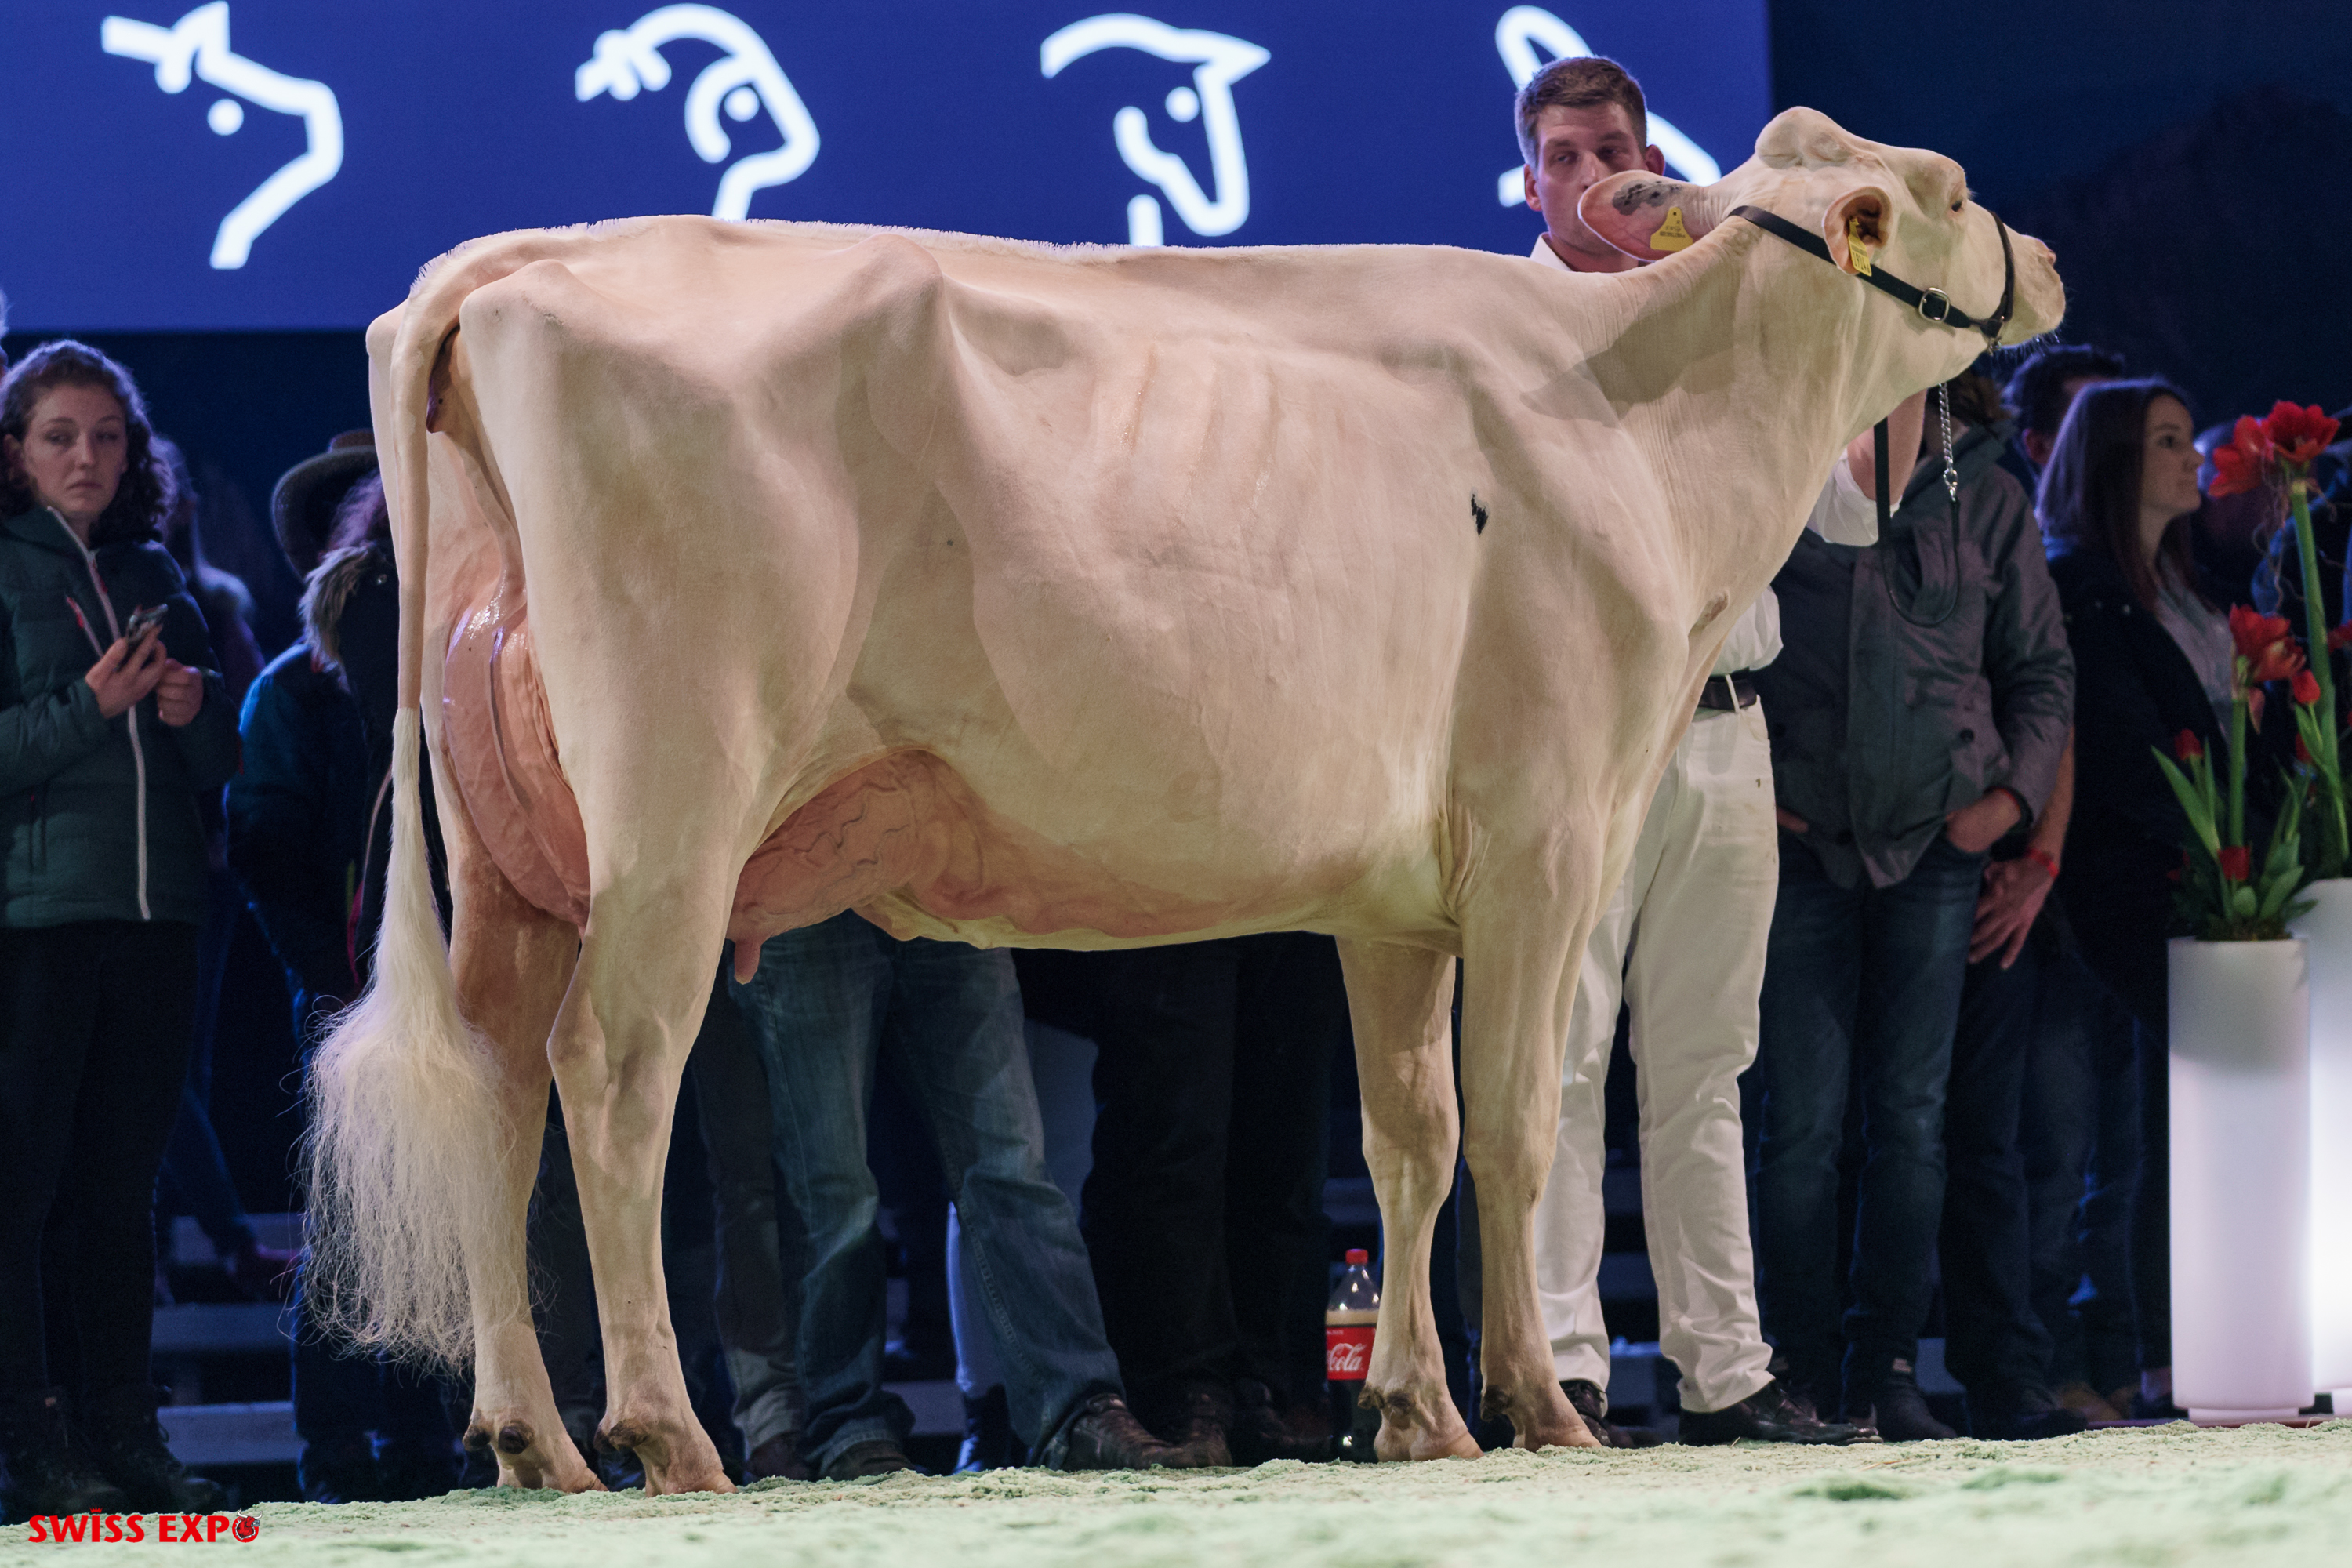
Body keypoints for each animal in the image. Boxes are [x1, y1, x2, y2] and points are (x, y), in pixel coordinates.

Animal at [302, 106, 2061, 1494]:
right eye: (1955, 187)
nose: (2044, 259)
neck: (1648, 424)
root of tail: (517, 263)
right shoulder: (1549, 829)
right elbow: (1514, 1124)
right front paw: (1542, 1407)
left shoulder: (1397, 895)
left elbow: (1409, 1133)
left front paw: (1417, 1411)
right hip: (677, 808)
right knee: (611, 1076)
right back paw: (665, 1434)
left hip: (515, 852)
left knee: (495, 1084)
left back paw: (529, 1436)